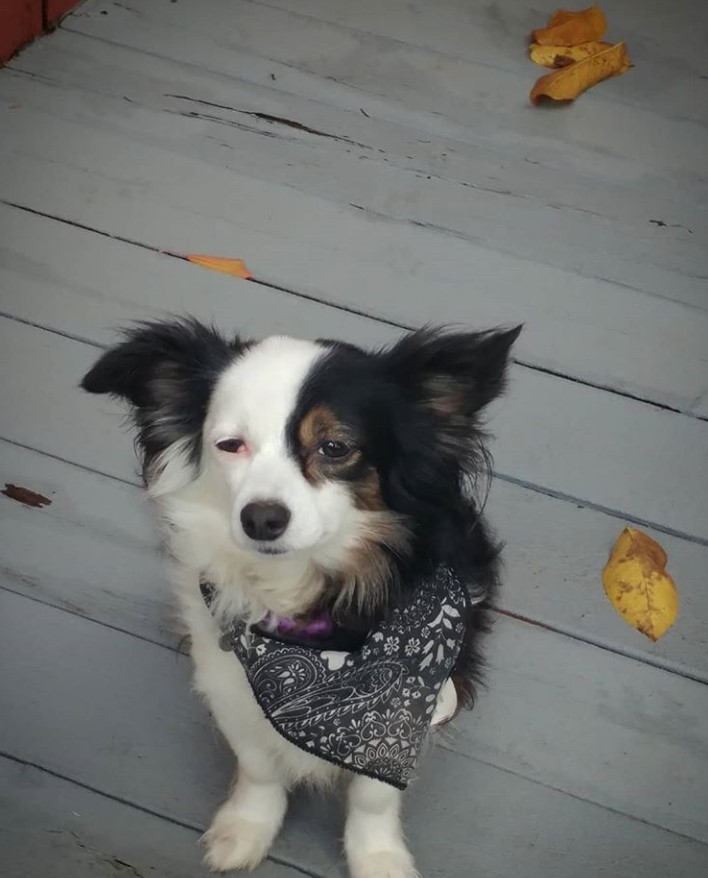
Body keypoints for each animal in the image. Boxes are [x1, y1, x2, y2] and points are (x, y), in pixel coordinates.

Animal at [81, 320, 520, 878]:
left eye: (335, 447)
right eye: (229, 445)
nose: (261, 518)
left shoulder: (412, 709)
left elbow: (374, 794)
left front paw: (378, 857)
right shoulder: (229, 686)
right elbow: (259, 766)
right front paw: (248, 826)